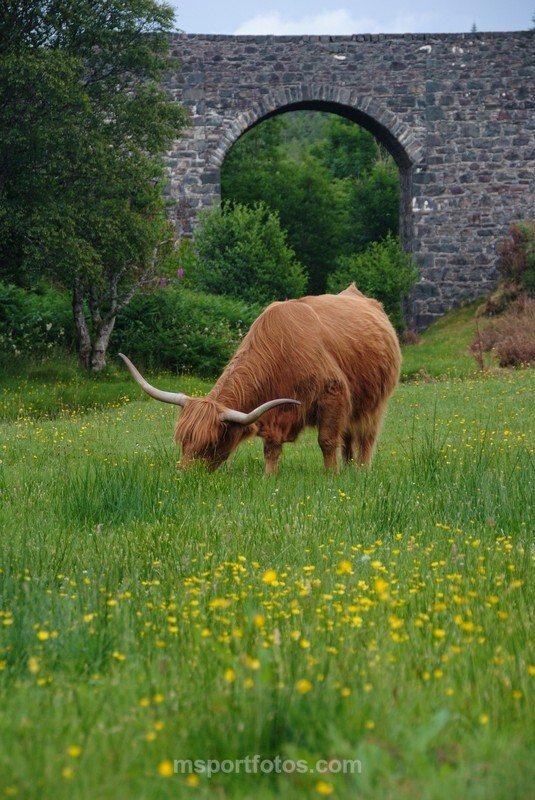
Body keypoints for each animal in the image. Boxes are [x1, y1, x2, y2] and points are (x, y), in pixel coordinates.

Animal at [119, 284, 401, 475]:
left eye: (210, 443)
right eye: (182, 439)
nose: (185, 475)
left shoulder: (333, 394)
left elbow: (327, 441)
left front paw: (331, 476)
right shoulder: (272, 413)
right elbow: (271, 448)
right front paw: (269, 477)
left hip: (374, 404)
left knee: (365, 437)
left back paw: (360, 470)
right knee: (349, 439)